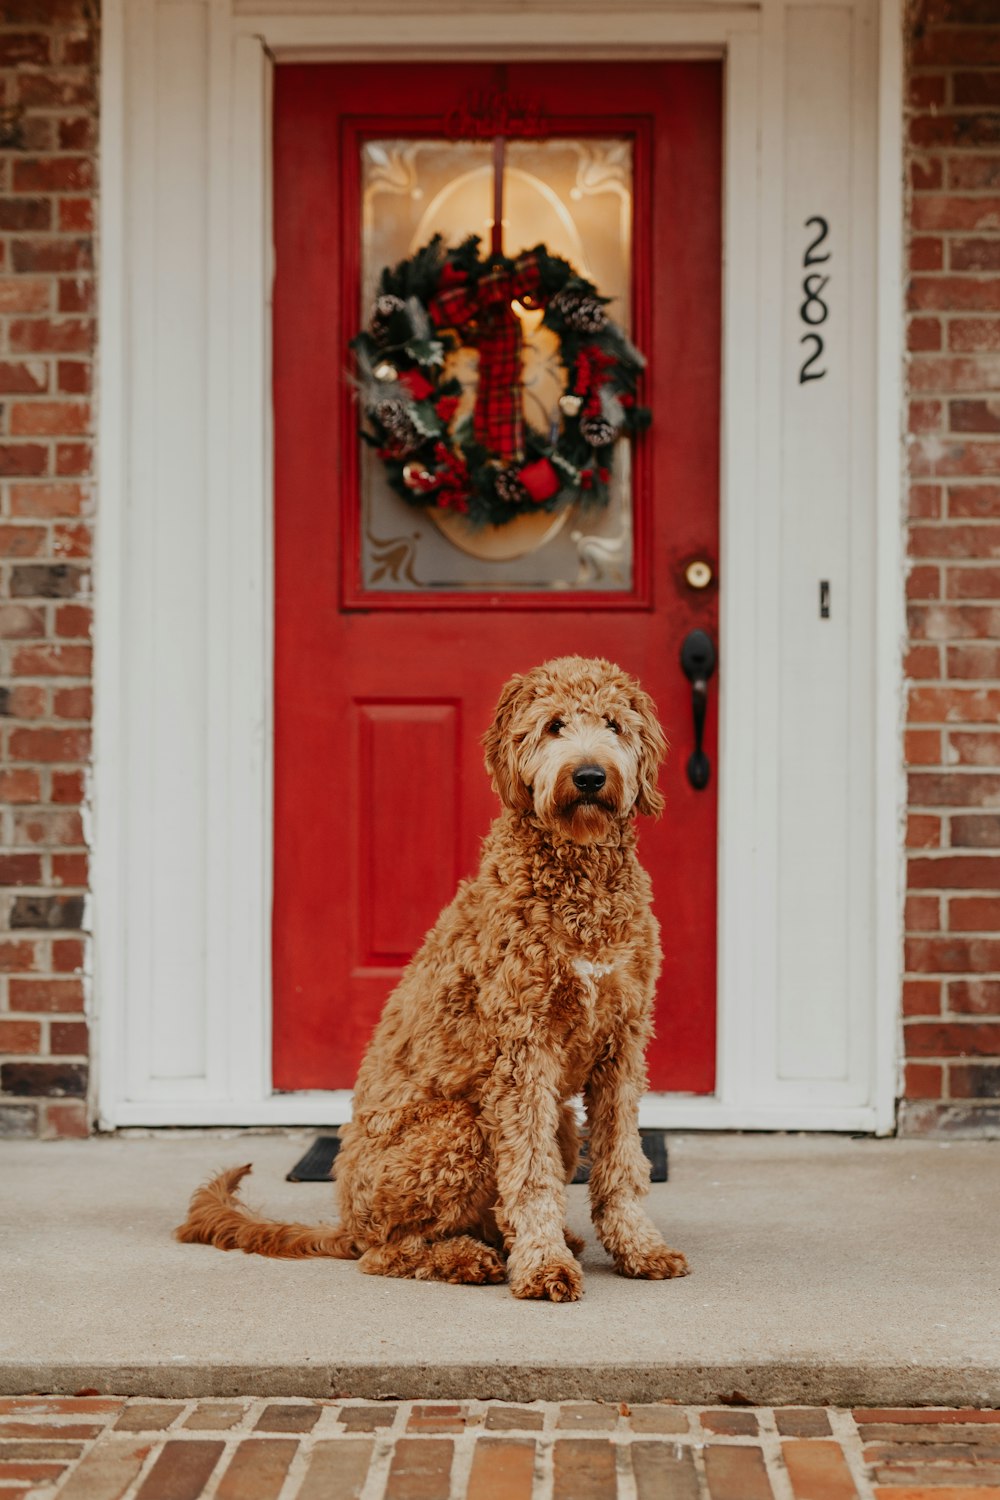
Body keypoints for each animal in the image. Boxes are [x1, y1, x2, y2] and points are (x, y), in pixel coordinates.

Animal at [176, 657, 689, 1302]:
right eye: (553, 725)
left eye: (614, 725)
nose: (591, 776)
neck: (580, 878)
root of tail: (346, 1222)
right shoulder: (522, 1052)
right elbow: (529, 1176)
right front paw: (542, 1267)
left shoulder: (622, 1043)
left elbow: (622, 1162)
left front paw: (639, 1249)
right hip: (460, 1129)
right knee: (390, 1251)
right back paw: (469, 1258)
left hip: (563, 1125)